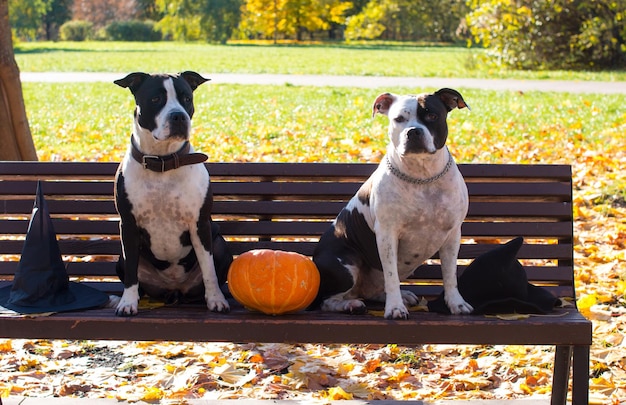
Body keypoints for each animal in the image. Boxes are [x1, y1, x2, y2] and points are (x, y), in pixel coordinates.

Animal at [112, 71, 232, 314]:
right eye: (156, 99)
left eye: (187, 98)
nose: (178, 116)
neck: (163, 162)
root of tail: (174, 290)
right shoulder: (128, 225)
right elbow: (131, 270)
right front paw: (127, 302)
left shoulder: (200, 225)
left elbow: (209, 269)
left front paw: (216, 299)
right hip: (120, 257)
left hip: (219, 244)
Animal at [312, 88, 472, 318]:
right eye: (399, 119)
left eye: (432, 116)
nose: (413, 131)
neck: (422, 176)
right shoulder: (387, 235)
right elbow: (391, 275)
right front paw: (395, 308)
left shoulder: (452, 234)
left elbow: (450, 274)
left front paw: (455, 303)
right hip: (346, 264)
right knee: (328, 300)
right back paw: (351, 304)